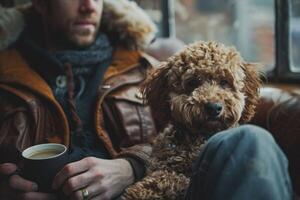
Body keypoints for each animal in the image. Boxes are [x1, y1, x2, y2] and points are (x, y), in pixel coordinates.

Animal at [120, 41, 262, 200]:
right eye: (193, 82)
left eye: (224, 82)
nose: (214, 108)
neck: (199, 137)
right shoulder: (161, 165)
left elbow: (172, 179)